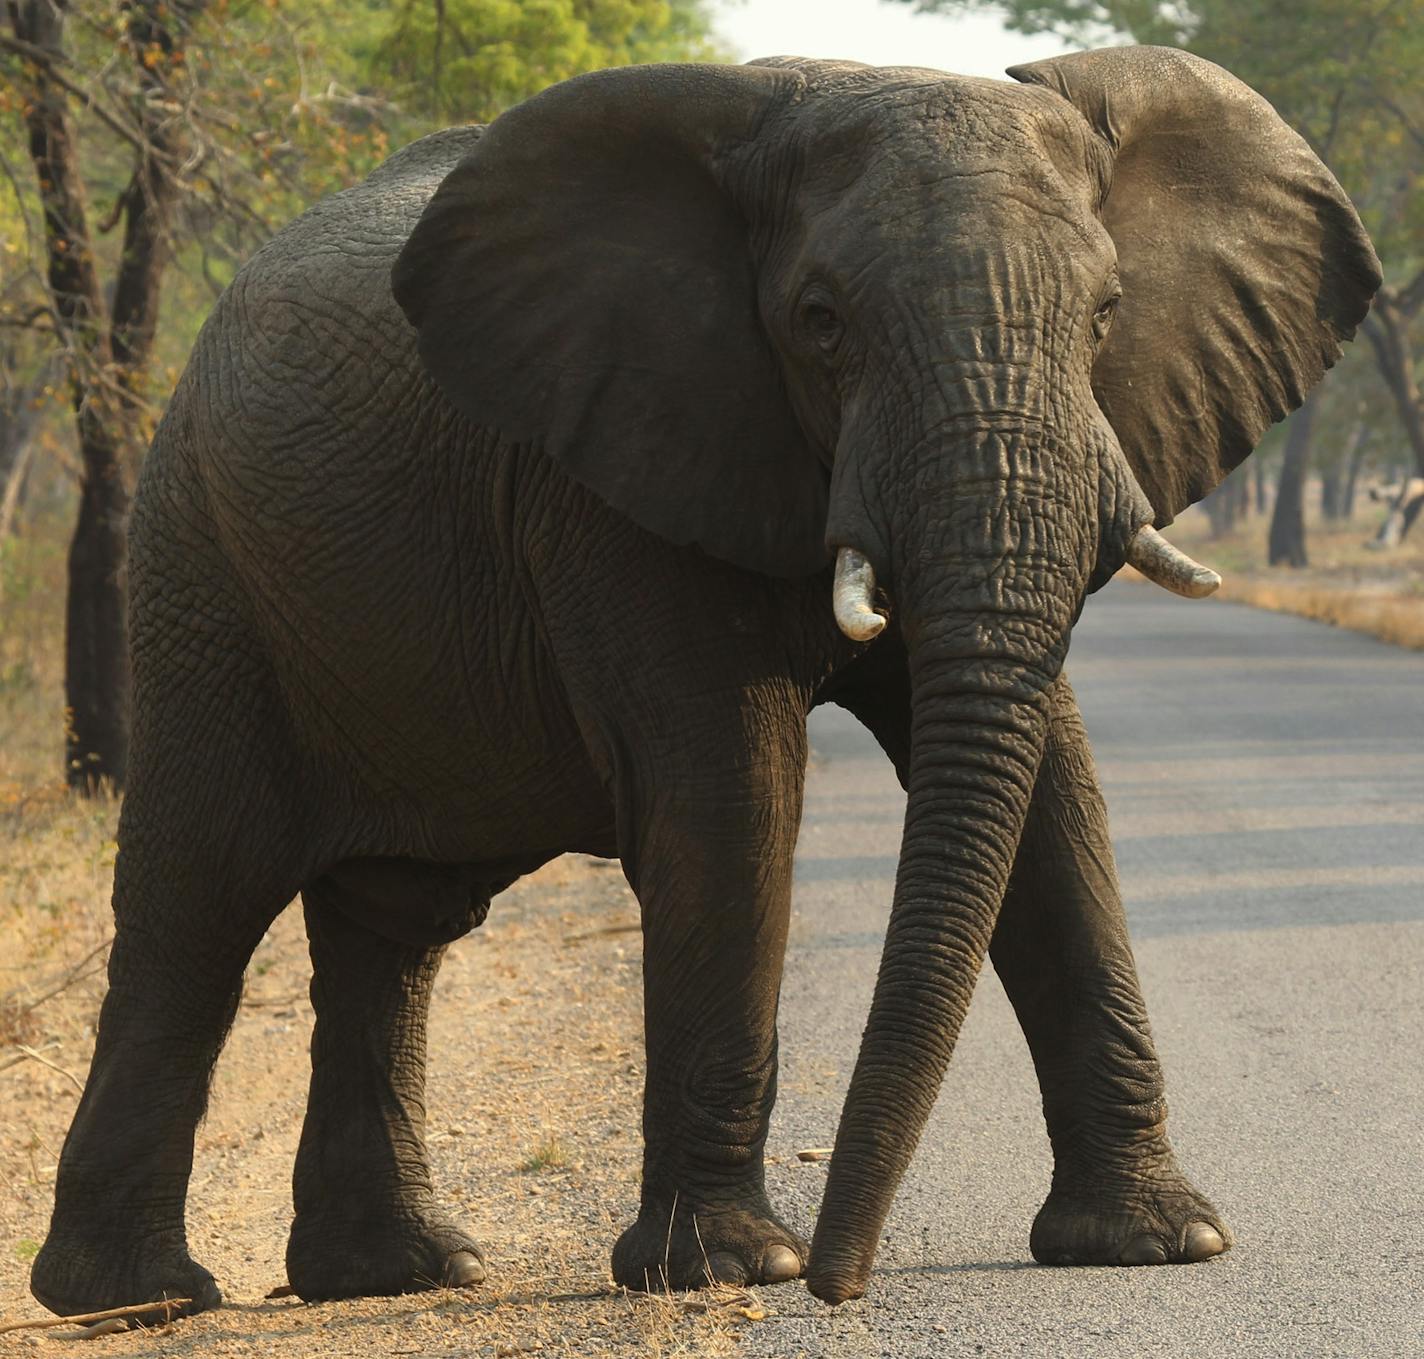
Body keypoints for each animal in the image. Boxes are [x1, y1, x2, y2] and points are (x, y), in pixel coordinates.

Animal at [30, 45, 1367, 1316]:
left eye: (1103, 315)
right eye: (819, 321)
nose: (844, 1281)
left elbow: (1052, 793)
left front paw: (1157, 1243)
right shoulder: (610, 468)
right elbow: (732, 792)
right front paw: (732, 1270)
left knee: (391, 927)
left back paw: (399, 1274)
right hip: (201, 567)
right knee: (200, 895)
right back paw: (137, 1299)